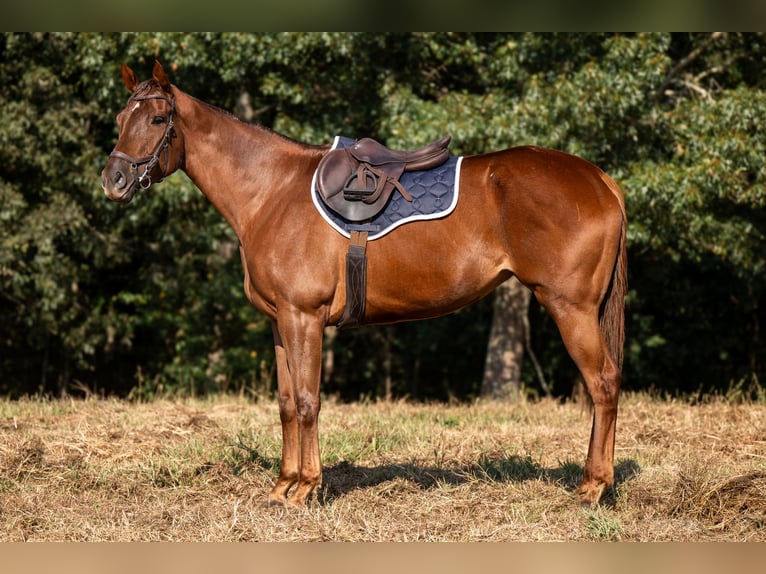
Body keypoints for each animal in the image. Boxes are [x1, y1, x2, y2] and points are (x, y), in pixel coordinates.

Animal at [102, 61, 627, 508]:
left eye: (157, 119)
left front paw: (306, 489)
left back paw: (591, 488)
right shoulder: (279, 322)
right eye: (120, 117)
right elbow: (287, 404)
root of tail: (600, 179)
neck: (271, 191)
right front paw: (282, 486)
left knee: (603, 384)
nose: (113, 179)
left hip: (571, 307)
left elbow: (309, 401)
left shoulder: (304, 317)